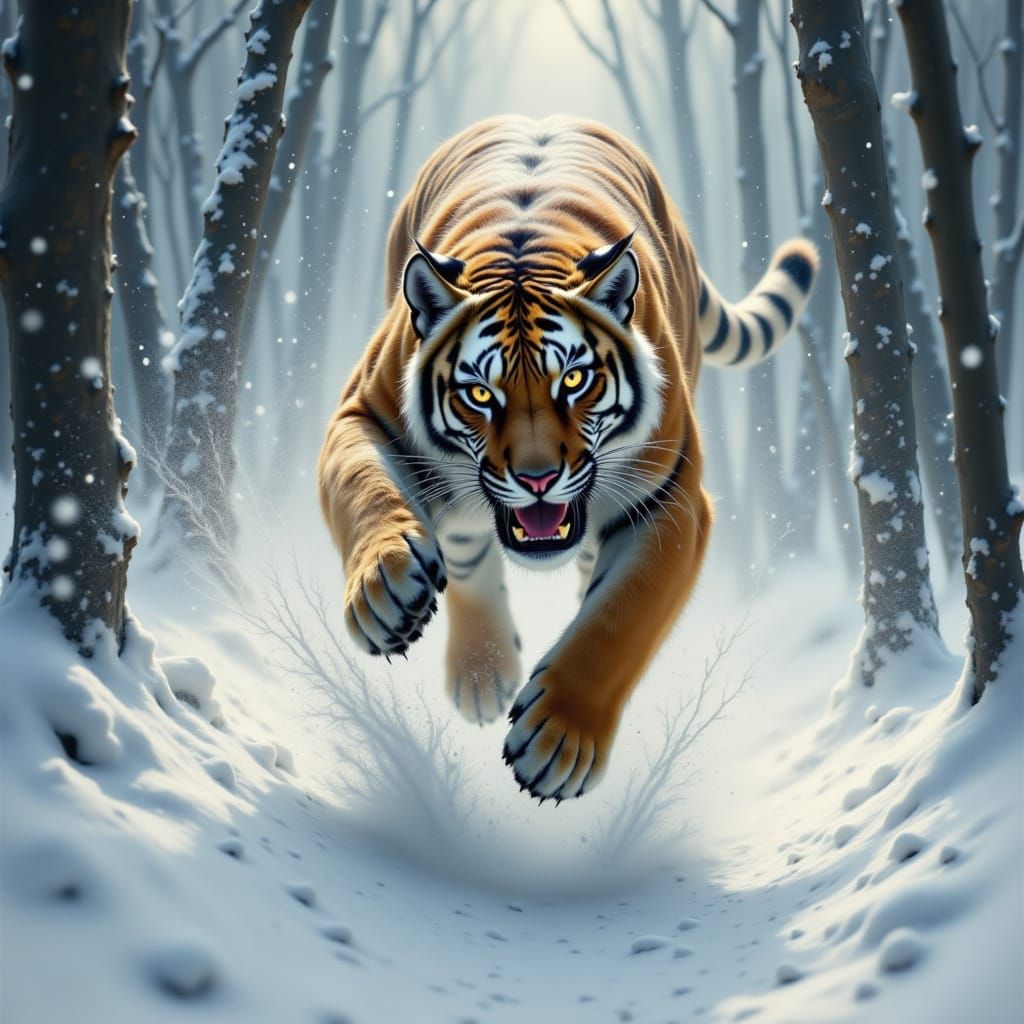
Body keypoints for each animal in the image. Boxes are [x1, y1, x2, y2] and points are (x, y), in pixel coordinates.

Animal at [318, 115, 817, 802]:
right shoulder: (362, 414)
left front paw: (560, 738)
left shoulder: (672, 499)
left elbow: (623, 616)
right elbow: (363, 487)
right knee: (468, 548)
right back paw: (481, 672)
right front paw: (383, 586)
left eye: (575, 381)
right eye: (480, 393)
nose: (538, 480)